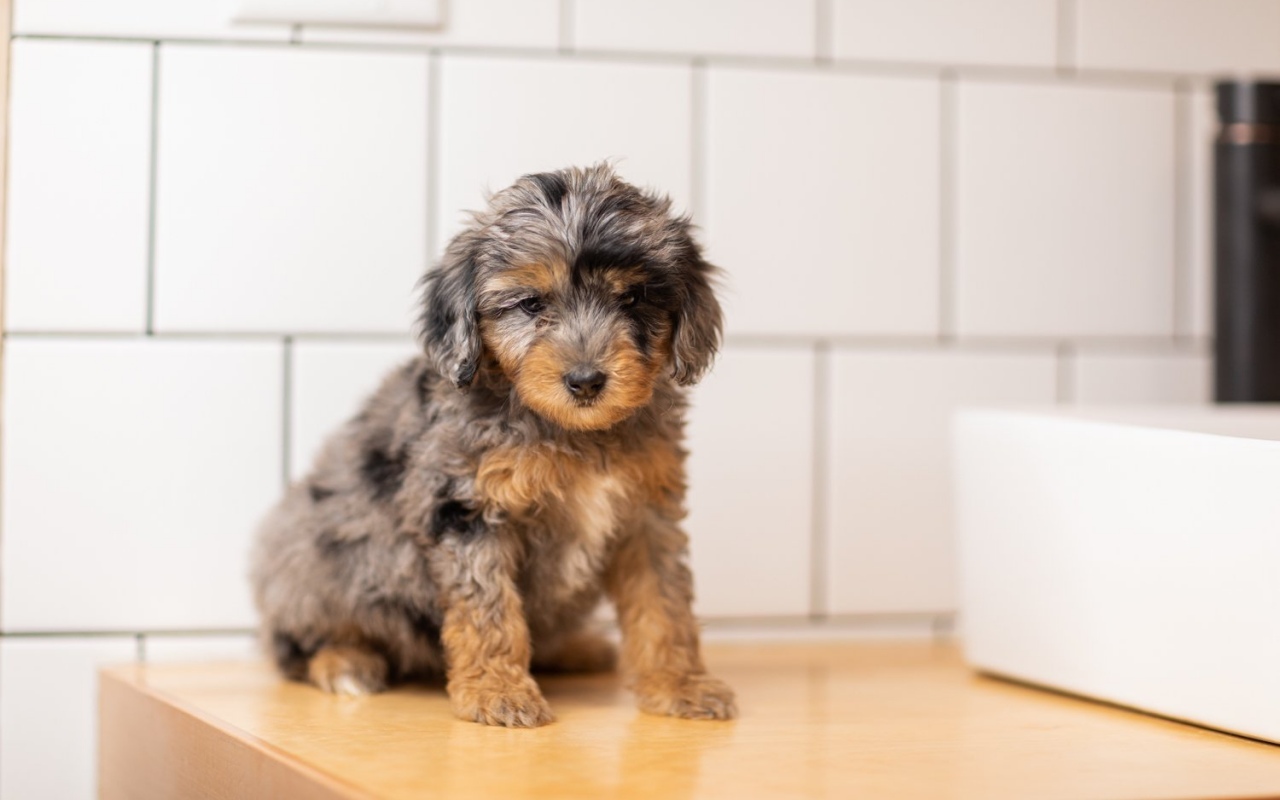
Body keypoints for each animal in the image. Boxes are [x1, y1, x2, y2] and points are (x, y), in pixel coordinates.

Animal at [252, 160, 732, 721]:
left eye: (632, 298)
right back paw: (344, 661)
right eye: (530, 303)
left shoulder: (647, 513)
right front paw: (498, 691)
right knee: (294, 644)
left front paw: (681, 684)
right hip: (308, 560)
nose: (586, 381)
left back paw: (574, 648)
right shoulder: (466, 506)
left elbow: (664, 601)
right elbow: (488, 607)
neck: (569, 431)